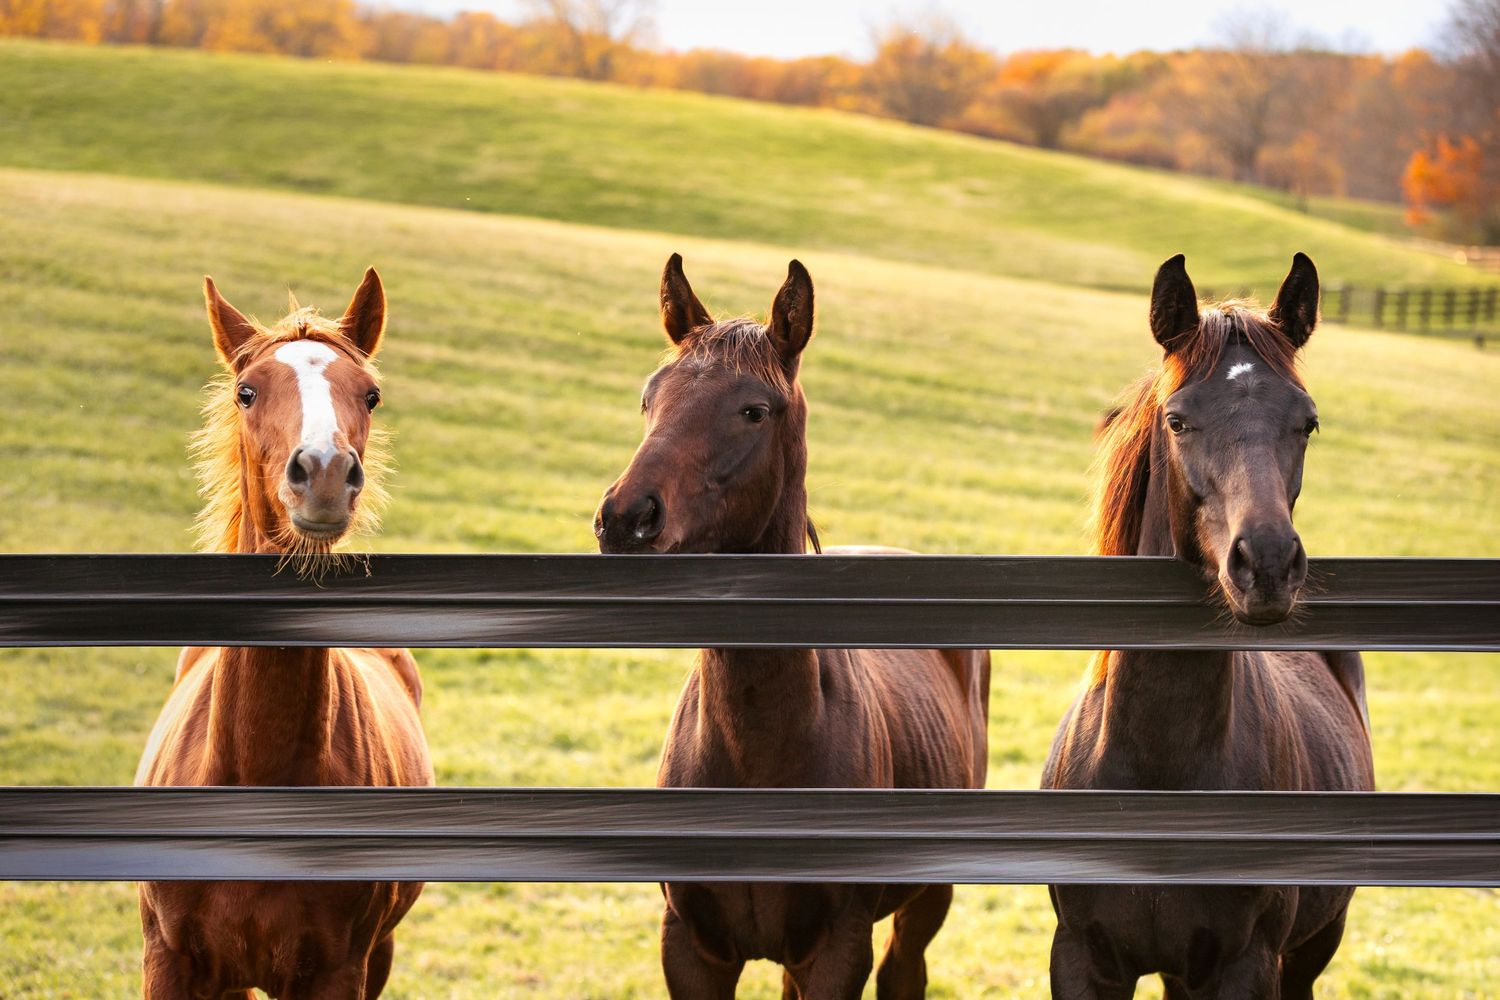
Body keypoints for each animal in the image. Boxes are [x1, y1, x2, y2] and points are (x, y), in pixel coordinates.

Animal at [594, 254, 991, 1000]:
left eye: (754, 410)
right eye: (649, 399)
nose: (626, 519)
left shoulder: (837, 952)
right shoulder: (692, 950)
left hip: (926, 901)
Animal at [1041, 253, 1374, 999]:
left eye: (1307, 422)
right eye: (1178, 419)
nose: (1270, 564)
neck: (1157, 774)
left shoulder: (1247, 964)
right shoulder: (1080, 958)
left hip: (1310, 950)